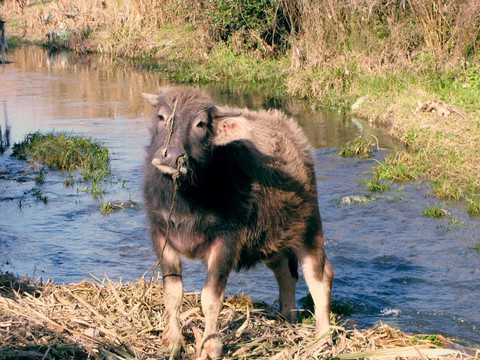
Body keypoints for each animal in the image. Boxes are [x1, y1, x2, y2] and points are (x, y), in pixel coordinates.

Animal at [142, 86, 334, 358]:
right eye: (161, 117)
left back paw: (322, 338)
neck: (187, 199)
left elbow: (211, 299)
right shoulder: (162, 237)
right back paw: (287, 319)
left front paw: (210, 346)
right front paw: (172, 341)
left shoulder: (226, 243)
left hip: (309, 228)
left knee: (319, 277)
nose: (172, 157)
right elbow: (173, 294)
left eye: (201, 123)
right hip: (272, 241)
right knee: (286, 274)